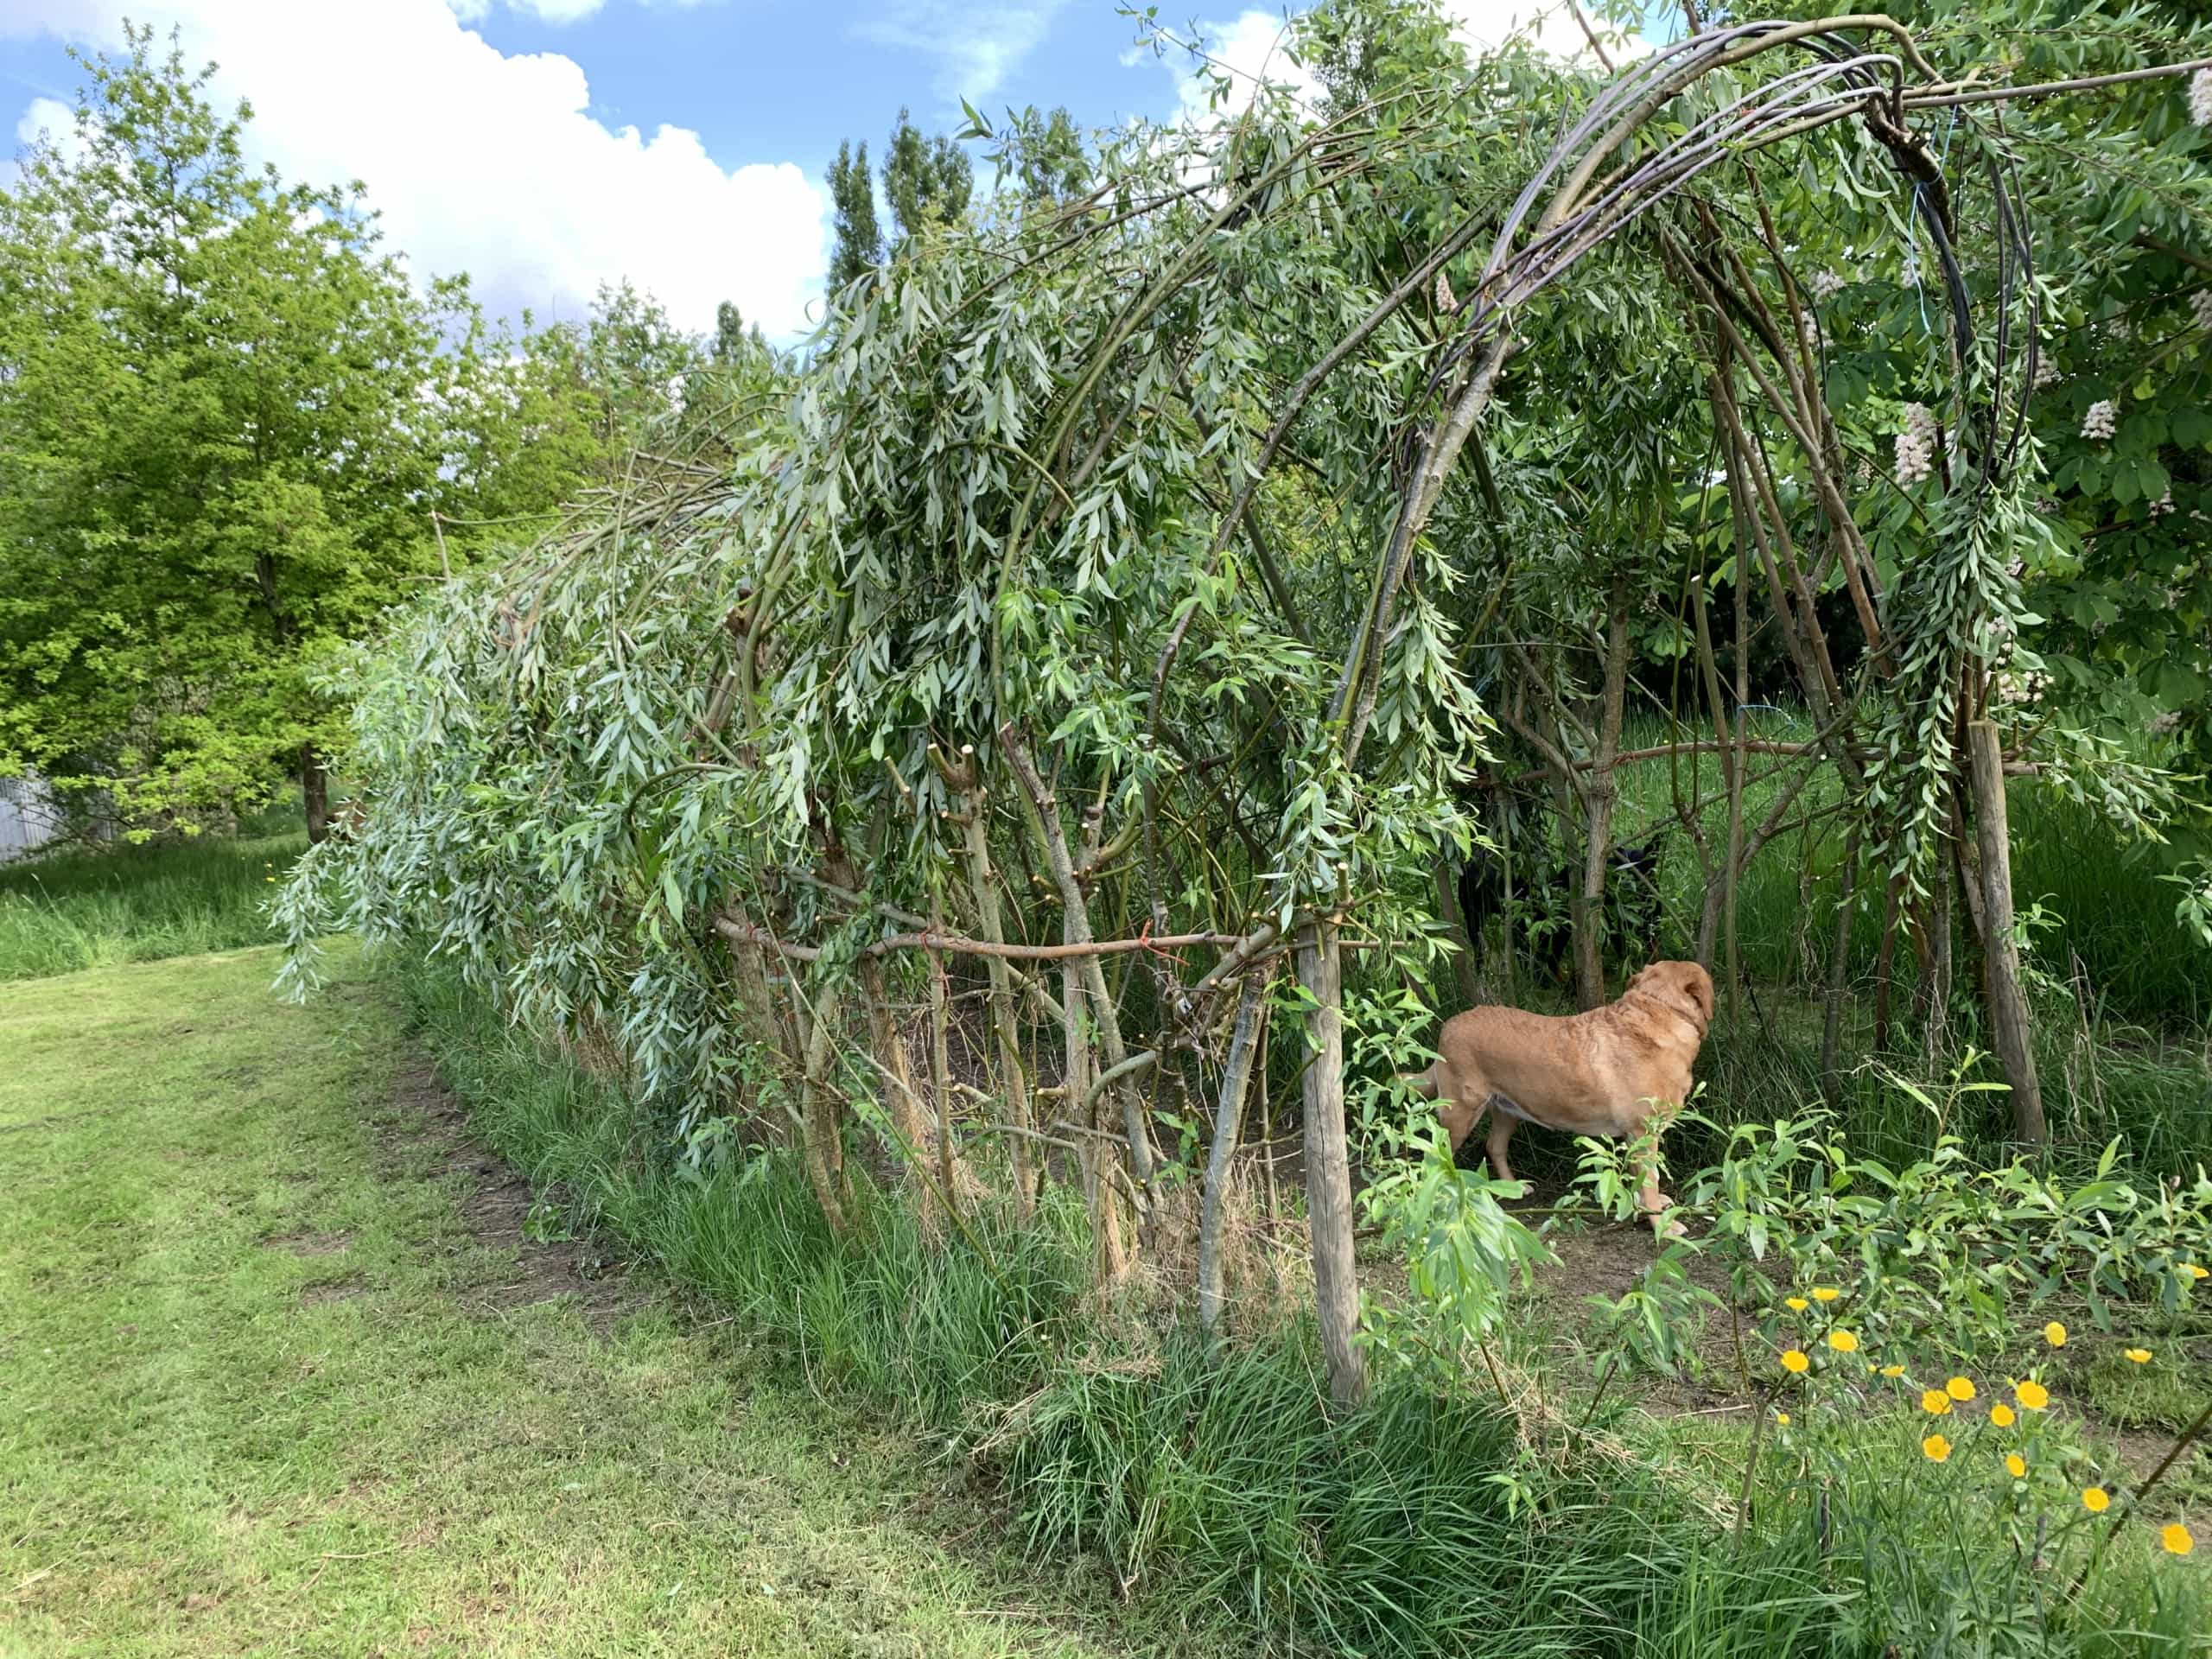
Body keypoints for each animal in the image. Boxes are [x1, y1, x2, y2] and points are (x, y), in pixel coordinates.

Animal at [1407, 960, 1716, 1238]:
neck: (1659, 1008)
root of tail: (1449, 1025)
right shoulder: (1643, 1133)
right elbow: (1650, 1182)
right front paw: (1662, 1224)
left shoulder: (1635, 1138)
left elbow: (1642, 1180)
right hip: (1461, 1114)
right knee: (1434, 1158)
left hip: (1508, 1110)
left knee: (1494, 1146)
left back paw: (1512, 1186)